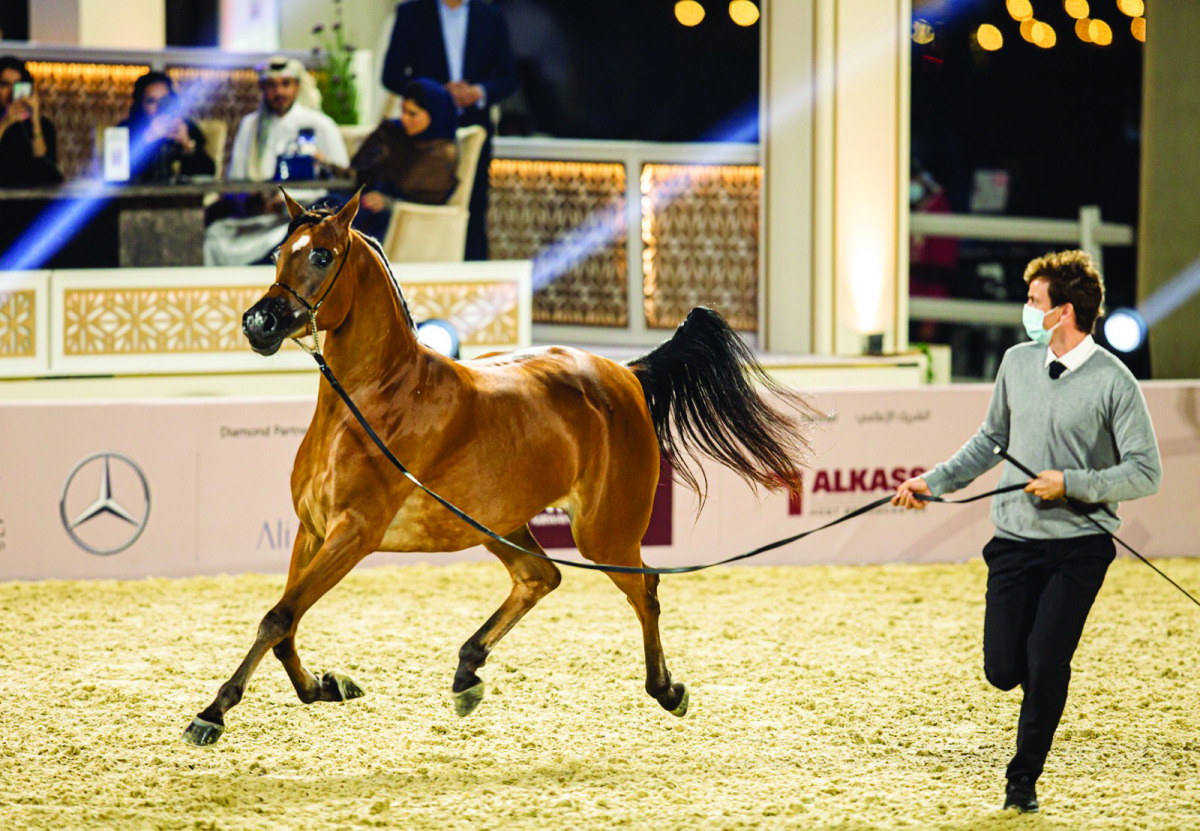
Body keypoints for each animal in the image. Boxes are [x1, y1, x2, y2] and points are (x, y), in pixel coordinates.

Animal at [183, 191, 815, 746]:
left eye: (321, 255)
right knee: (541, 576)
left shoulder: (352, 535)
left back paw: (666, 690)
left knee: (646, 588)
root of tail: (627, 374)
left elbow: (278, 617)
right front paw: (325, 687)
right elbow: (284, 624)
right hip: (499, 522)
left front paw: (212, 714)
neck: (371, 403)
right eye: (278, 252)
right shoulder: (311, 530)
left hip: (603, 532)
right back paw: (467, 673)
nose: (259, 323)